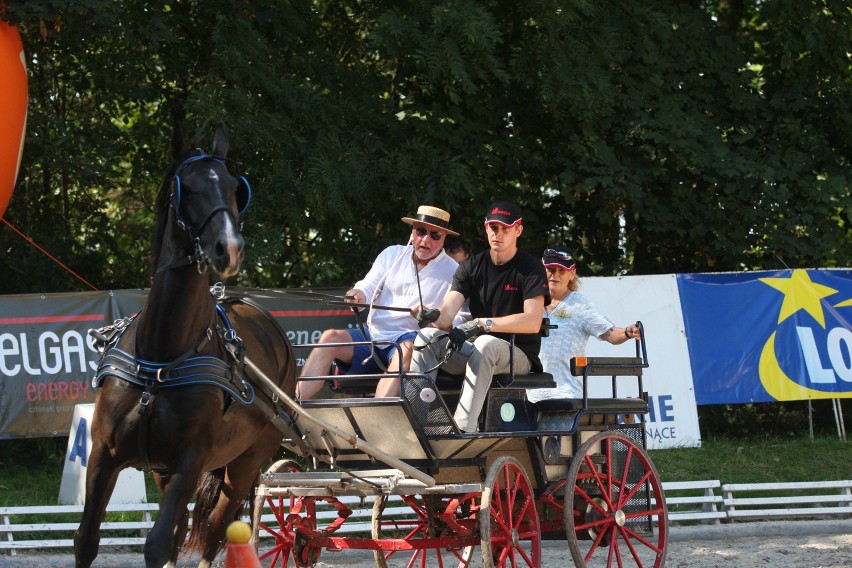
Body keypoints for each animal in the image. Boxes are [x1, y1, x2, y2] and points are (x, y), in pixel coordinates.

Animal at [76, 125, 296, 568]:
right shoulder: (104, 455)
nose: (229, 248)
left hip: (245, 462)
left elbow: (158, 543)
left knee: (216, 528)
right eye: (188, 188)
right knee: (185, 531)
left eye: (234, 188)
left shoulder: (190, 461)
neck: (160, 358)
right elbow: (87, 539)